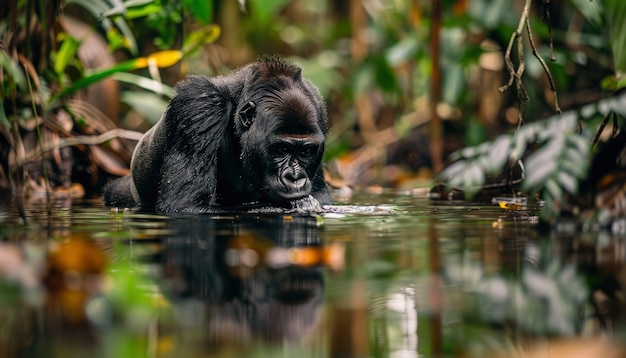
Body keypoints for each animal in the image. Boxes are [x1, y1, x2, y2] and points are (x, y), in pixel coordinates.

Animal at [105, 56, 332, 213]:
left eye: (306, 152)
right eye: (282, 149)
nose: (295, 178)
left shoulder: (319, 107)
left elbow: (321, 195)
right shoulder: (200, 104)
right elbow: (186, 205)